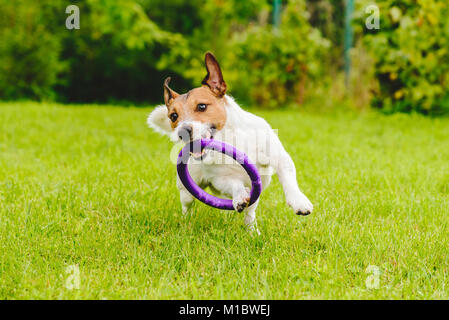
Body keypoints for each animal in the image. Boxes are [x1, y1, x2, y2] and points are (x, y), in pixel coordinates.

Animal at [147, 52, 312, 232]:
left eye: (202, 106)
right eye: (173, 116)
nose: (182, 132)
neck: (230, 139)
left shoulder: (279, 157)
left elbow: (288, 178)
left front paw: (299, 202)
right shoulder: (221, 179)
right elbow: (235, 185)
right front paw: (239, 196)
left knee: (250, 212)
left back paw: (252, 231)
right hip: (187, 188)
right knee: (187, 205)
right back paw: (186, 223)